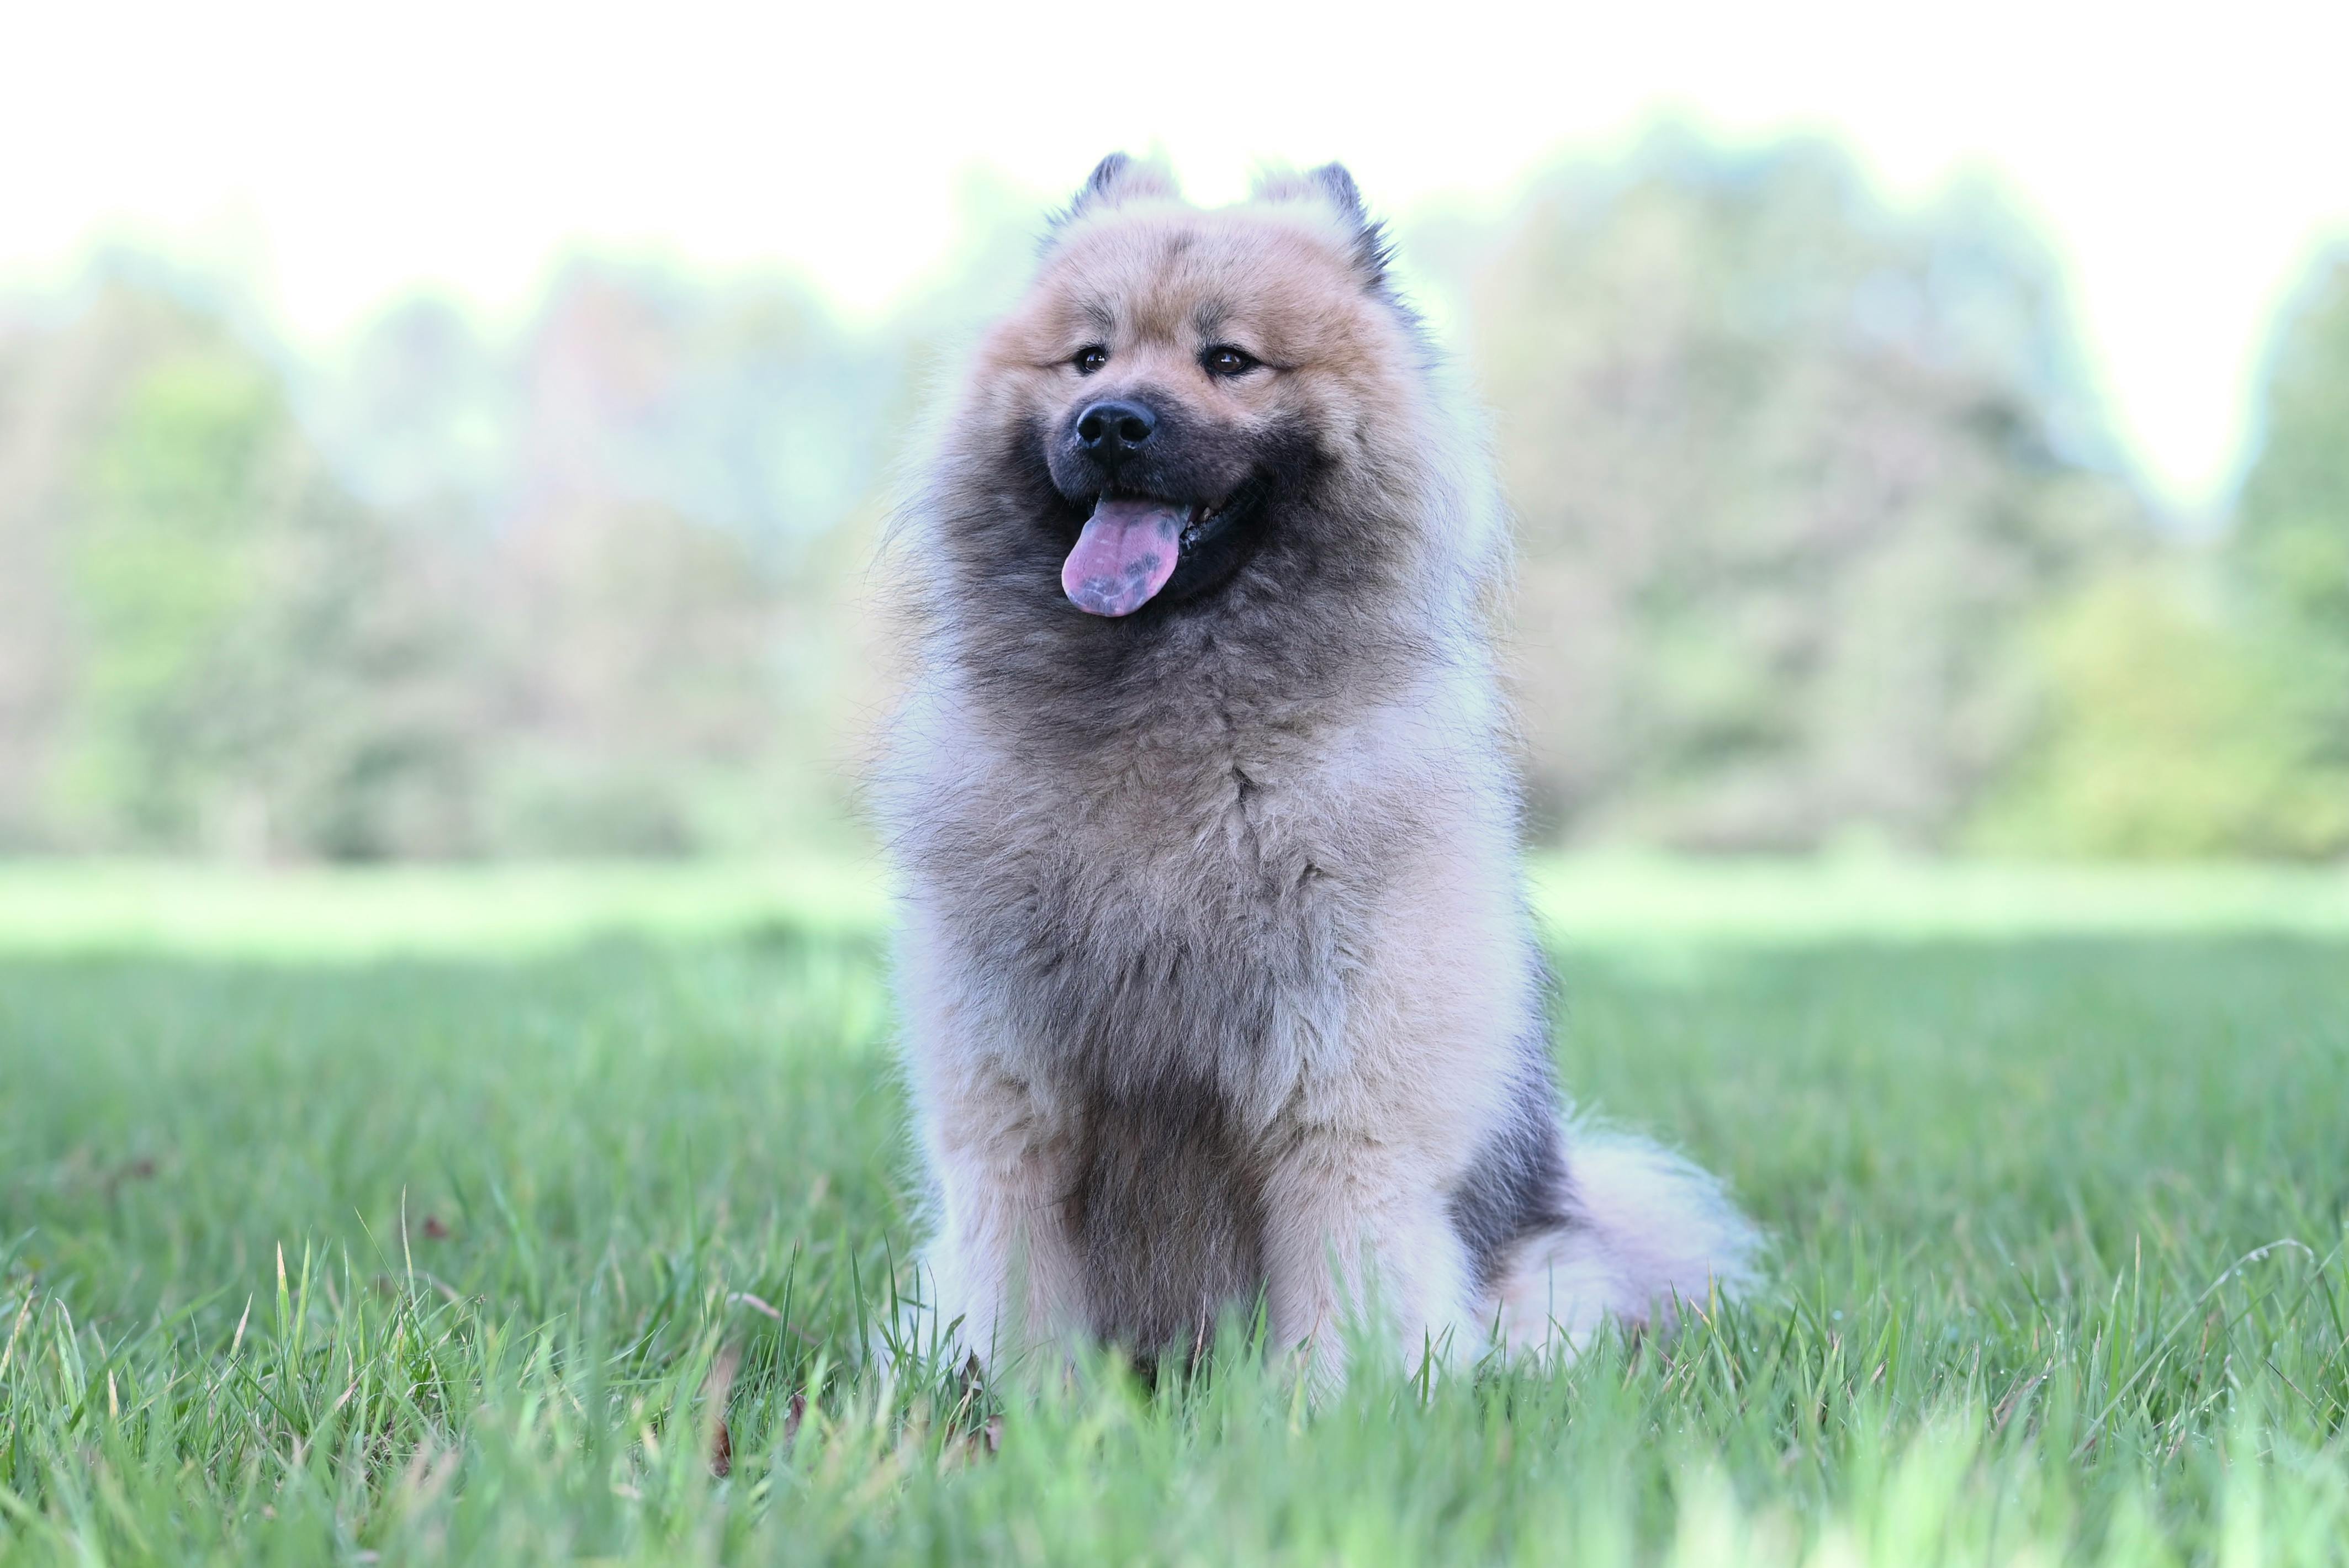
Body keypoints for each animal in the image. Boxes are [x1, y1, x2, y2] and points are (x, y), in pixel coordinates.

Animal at [874, 152, 1757, 1380]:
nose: (1109, 424)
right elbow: (1015, 1293)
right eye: (1089, 357)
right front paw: (1013, 1404)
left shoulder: (1340, 1105)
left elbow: (1351, 1284)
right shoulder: (1011, 1104)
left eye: (1228, 360)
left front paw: (1328, 1410)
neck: (1174, 730)